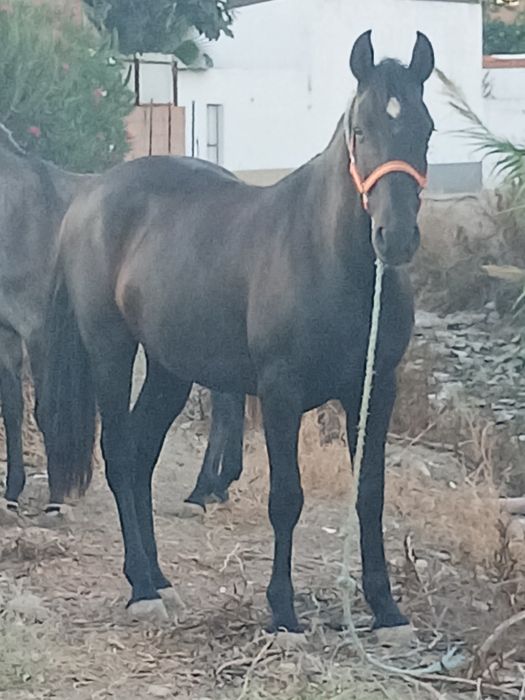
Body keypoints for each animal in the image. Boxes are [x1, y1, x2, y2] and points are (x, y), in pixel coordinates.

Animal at [42, 30, 435, 632]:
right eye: (361, 130)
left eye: (426, 128)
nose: (395, 238)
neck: (329, 259)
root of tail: (89, 199)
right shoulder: (280, 393)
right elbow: (287, 498)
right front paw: (283, 612)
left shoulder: (375, 390)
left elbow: (369, 494)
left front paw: (387, 610)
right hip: (111, 351)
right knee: (119, 452)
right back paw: (141, 588)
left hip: (170, 369)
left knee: (142, 453)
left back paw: (158, 577)